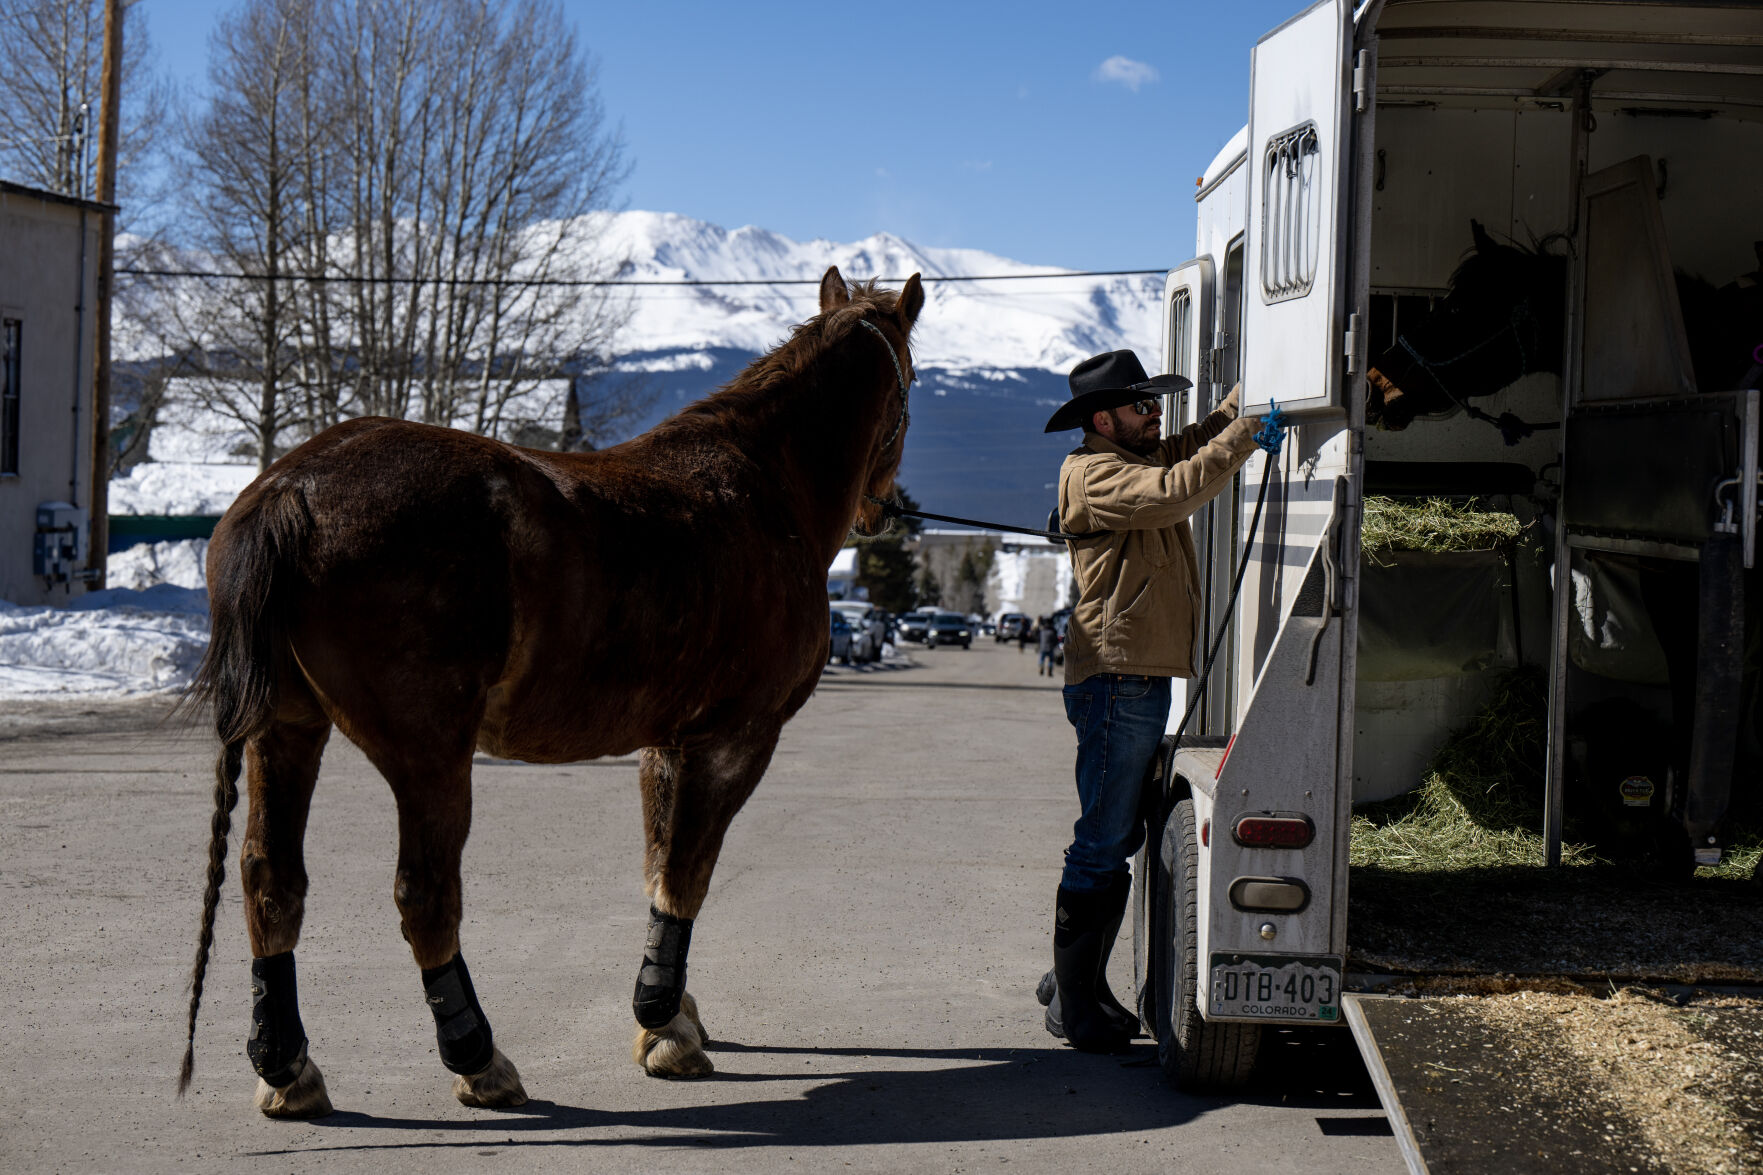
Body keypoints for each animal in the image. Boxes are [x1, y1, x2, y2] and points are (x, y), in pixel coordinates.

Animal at [176, 266, 924, 1117]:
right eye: (909, 388)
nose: (886, 509)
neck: (764, 489)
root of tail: (290, 488)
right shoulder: (735, 738)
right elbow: (687, 872)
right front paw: (664, 1026)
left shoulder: (666, 741)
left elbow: (657, 864)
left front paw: (672, 1012)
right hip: (430, 753)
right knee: (424, 893)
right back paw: (478, 1058)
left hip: (287, 729)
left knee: (272, 878)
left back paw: (288, 1068)